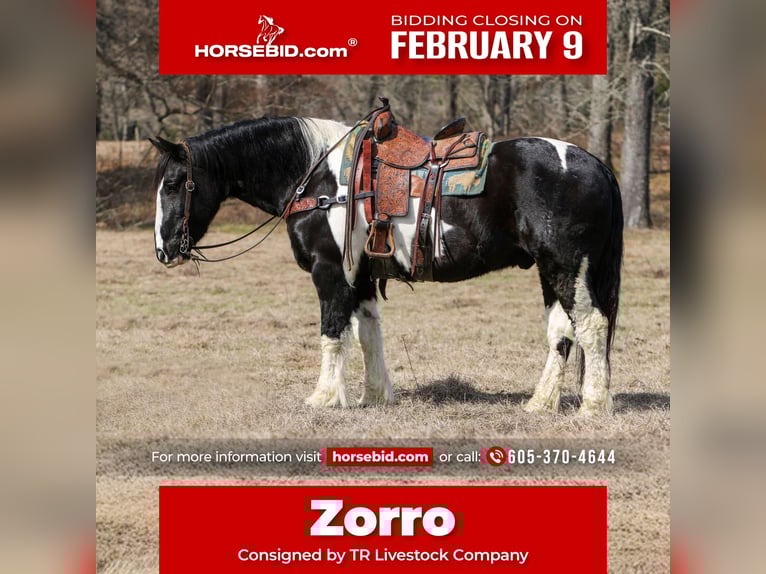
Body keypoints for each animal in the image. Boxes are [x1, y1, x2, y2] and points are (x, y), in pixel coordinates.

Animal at [150, 112, 623, 417]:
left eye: (173, 184)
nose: (163, 250)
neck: (319, 180)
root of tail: (595, 163)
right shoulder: (360, 276)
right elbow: (367, 334)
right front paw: (374, 396)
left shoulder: (330, 271)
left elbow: (332, 333)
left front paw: (324, 398)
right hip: (549, 270)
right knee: (561, 331)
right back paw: (540, 404)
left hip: (566, 266)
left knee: (592, 325)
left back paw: (594, 405)